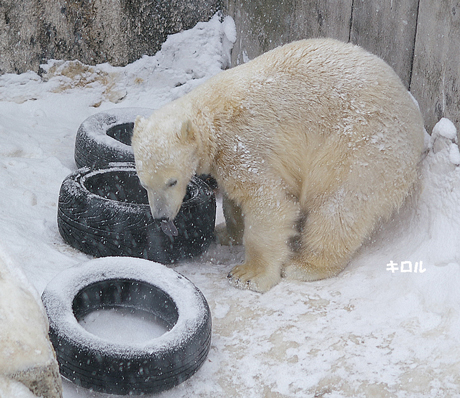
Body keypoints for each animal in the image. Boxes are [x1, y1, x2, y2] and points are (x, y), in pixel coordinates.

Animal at [131, 38, 426, 292]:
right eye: (144, 184)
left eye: (172, 181)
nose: (161, 217)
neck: (211, 116)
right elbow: (234, 199)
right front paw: (225, 232)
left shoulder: (245, 144)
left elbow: (268, 203)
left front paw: (248, 275)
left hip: (361, 146)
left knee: (339, 205)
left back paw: (305, 265)